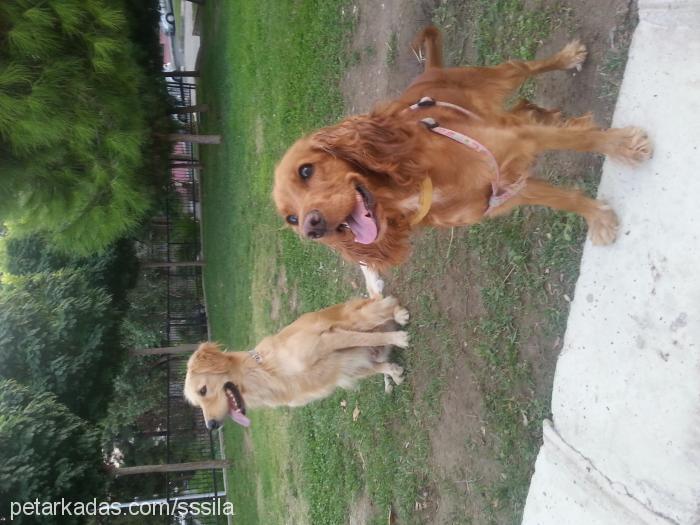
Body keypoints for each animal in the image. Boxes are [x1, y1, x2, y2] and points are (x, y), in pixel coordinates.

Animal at [183, 296, 408, 428]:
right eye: (197, 404)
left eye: (203, 390)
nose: (211, 425)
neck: (264, 371)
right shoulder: (338, 371)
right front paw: (395, 361)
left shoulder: (324, 340)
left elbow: (366, 338)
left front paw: (398, 338)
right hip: (353, 369)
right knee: (378, 364)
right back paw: (394, 372)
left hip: (357, 320)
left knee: (383, 305)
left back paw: (399, 315)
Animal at [272, 25, 652, 270]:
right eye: (291, 219)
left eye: (306, 170)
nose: (311, 228)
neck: (414, 186)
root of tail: (430, 70)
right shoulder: (508, 190)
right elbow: (565, 199)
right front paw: (598, 217)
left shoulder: (518, 142)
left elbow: (585, 141)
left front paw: (623, 146)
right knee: (525, 107)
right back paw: (549, 113)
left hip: (499, 78)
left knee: (525, 68)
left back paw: (567, 57)